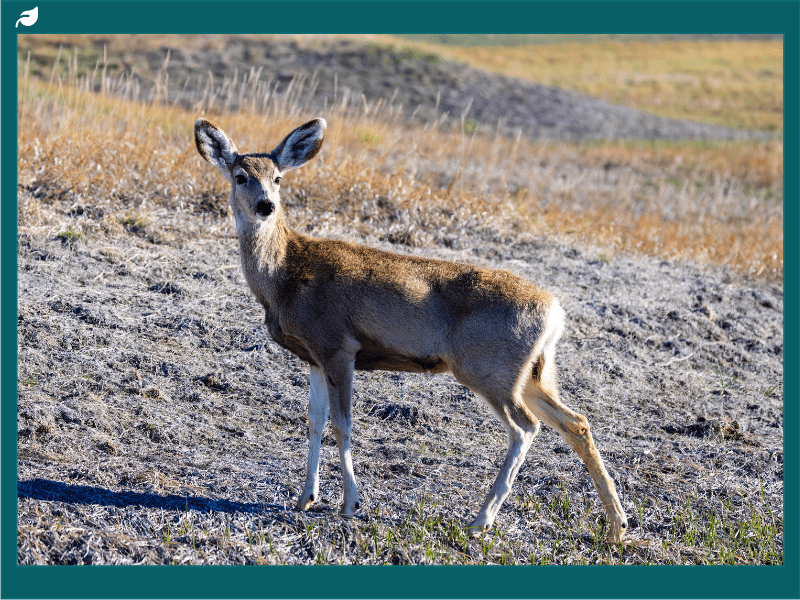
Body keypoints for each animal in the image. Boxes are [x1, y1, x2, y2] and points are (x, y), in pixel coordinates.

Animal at [194, 117, 629, 543]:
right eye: (240, 176)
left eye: (278, 177)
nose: (266, 205)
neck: (286, 276)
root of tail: (555, 312)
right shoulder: (314, 355)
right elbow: (314, 422)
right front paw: (305, 498)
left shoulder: (339, 345)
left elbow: (342, 424)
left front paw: (350, 504)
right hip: (531, 373)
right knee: (576, 422)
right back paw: (617, 525)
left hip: (489, 368)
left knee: (526, 428)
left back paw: (480, 520)